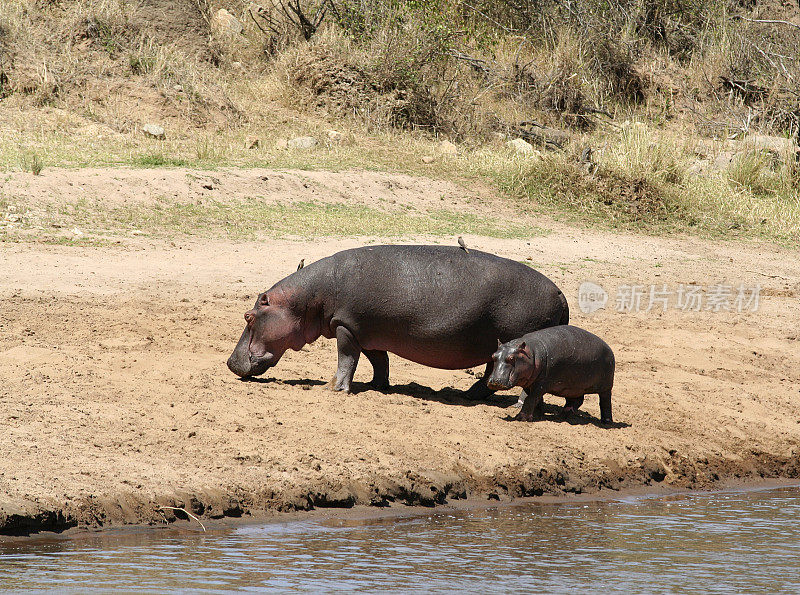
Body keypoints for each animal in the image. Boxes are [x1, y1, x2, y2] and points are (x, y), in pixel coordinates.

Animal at [225, 244, 568, 398]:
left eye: (248, 316)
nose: (229, 362)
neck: (306, 299)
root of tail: (563, 296)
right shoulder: (366, 331)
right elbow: (379, 361)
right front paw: (377, 387)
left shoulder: (345, 328)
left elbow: (346, 359)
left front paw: (334, 388)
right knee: (489, 373)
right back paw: (466, 394)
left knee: (493, 374)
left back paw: (469, 396)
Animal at [484, 326, 616, 424]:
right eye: (493, 356)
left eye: (512, 358)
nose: (495, 381)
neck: (532, 353)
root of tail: (609, 348)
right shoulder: (529, 383)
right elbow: (535, 400)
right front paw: (537, 416)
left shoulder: (541, 384)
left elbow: (531, 399)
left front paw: (521, 418)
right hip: (573, 387)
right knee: (576, 400)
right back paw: (563, 415)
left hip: (606, 387)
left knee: (605, 402)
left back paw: (606, 422)